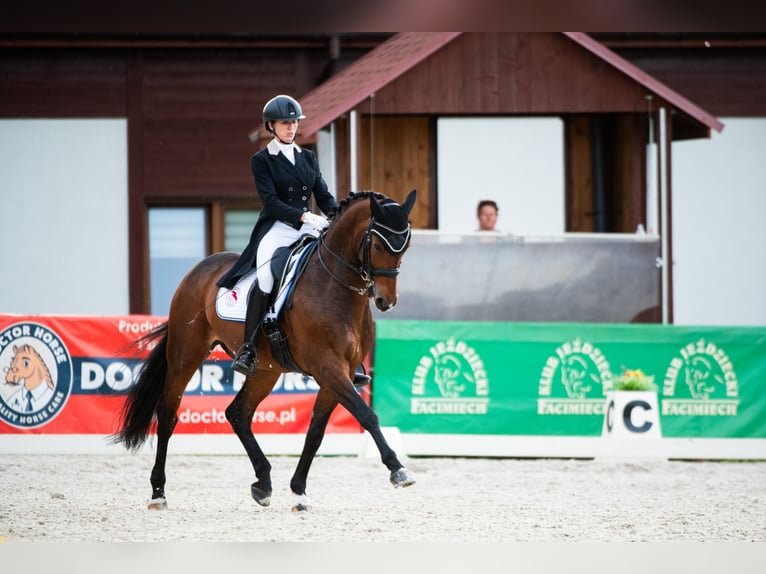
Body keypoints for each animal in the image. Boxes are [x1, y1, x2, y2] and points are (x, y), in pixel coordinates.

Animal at [113, 189, 418, 511]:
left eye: (405, 245)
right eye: (377, 243)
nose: (386, 301)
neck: (336, 288)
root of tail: (197, 270)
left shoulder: (340, 373)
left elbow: (316, 433)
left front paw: (299, 492)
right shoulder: (328, 367)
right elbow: (366, 414)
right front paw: (398, 470)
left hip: (264, 370)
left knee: (238, 413)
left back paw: (263, 483)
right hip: (186, 354)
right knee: (168, 414)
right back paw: (158, 492)